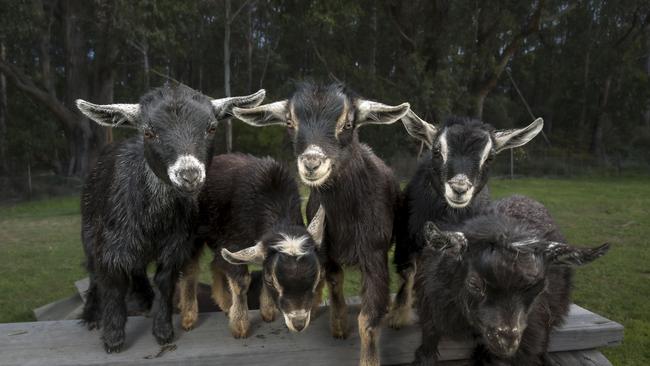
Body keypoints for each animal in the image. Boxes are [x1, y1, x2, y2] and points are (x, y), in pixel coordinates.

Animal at [77, 85, 264, 352]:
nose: (189, 175)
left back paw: (144, 298)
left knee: (137, 269)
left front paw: (163, 332)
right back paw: (92, 315)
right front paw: (113, 338)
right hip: (89, 229)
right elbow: (112, 285)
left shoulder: (175, 246)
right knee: (93, 271)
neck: (153, 220)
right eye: (148, 131)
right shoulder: (112, 246)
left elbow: (165, 283)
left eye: (211, 127)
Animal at [176, 153, 324, 336]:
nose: (298, 324)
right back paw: (188, 317)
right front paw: (240, 325)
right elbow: (241, 282)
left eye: (317, 277)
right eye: (270, 280)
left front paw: (267, 311)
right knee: (191, 269)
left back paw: (225, 303)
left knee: (216, 262)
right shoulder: (234, 241)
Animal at [230, 83, 408, 366]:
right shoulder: (326, 251)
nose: (312, 163)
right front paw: (338, 326)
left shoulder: (374, 253)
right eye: (290, 122)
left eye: (348, 124)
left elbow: (368, 320)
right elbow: (333, 284)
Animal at [388, 111, 544, 328]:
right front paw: (398, 317)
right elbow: (407, 272)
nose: (459, 188)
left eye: (490, 157)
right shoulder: (407, 237)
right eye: (437, 150)